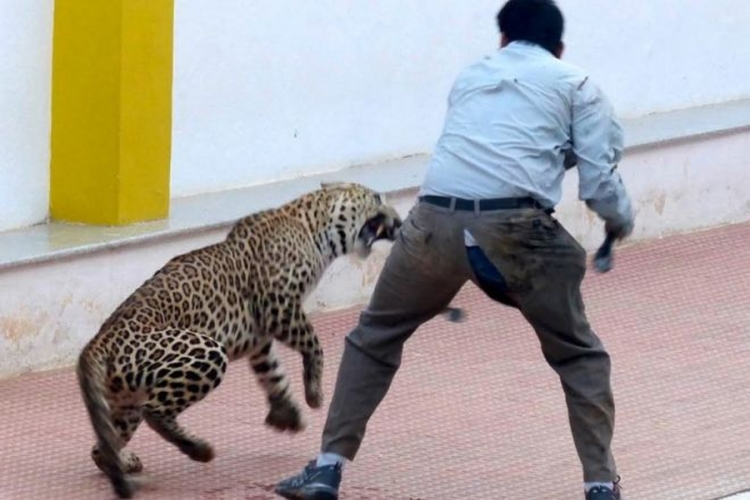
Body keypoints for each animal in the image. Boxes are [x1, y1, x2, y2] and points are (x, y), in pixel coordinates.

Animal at [76, 182, 403, 499]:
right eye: (376, 198)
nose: (400, 222)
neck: (313, 227)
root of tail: (97, 343)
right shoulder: (279, 307)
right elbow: (313, 343)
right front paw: (314, 394)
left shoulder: (259, 337)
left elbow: (273, 373)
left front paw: (287, 414)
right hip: (206, 352)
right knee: (154, 412)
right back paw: (200, 449)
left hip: (126, 399)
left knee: (103, 446)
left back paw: (124, 462)